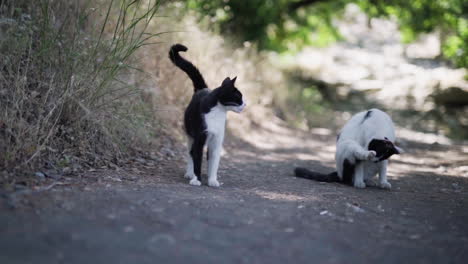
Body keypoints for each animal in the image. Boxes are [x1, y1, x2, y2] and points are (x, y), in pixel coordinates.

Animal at [170, 43, 247, 188]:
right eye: (239, 97)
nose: (245, 104)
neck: (219, 113)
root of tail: (202, 89)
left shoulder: (216, 141)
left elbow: (214, 162)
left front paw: (212, 180)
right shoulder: (200, 138)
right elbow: (197, 159)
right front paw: (196, 179)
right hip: (190, 134)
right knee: (190, 153)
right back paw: (189, 173)